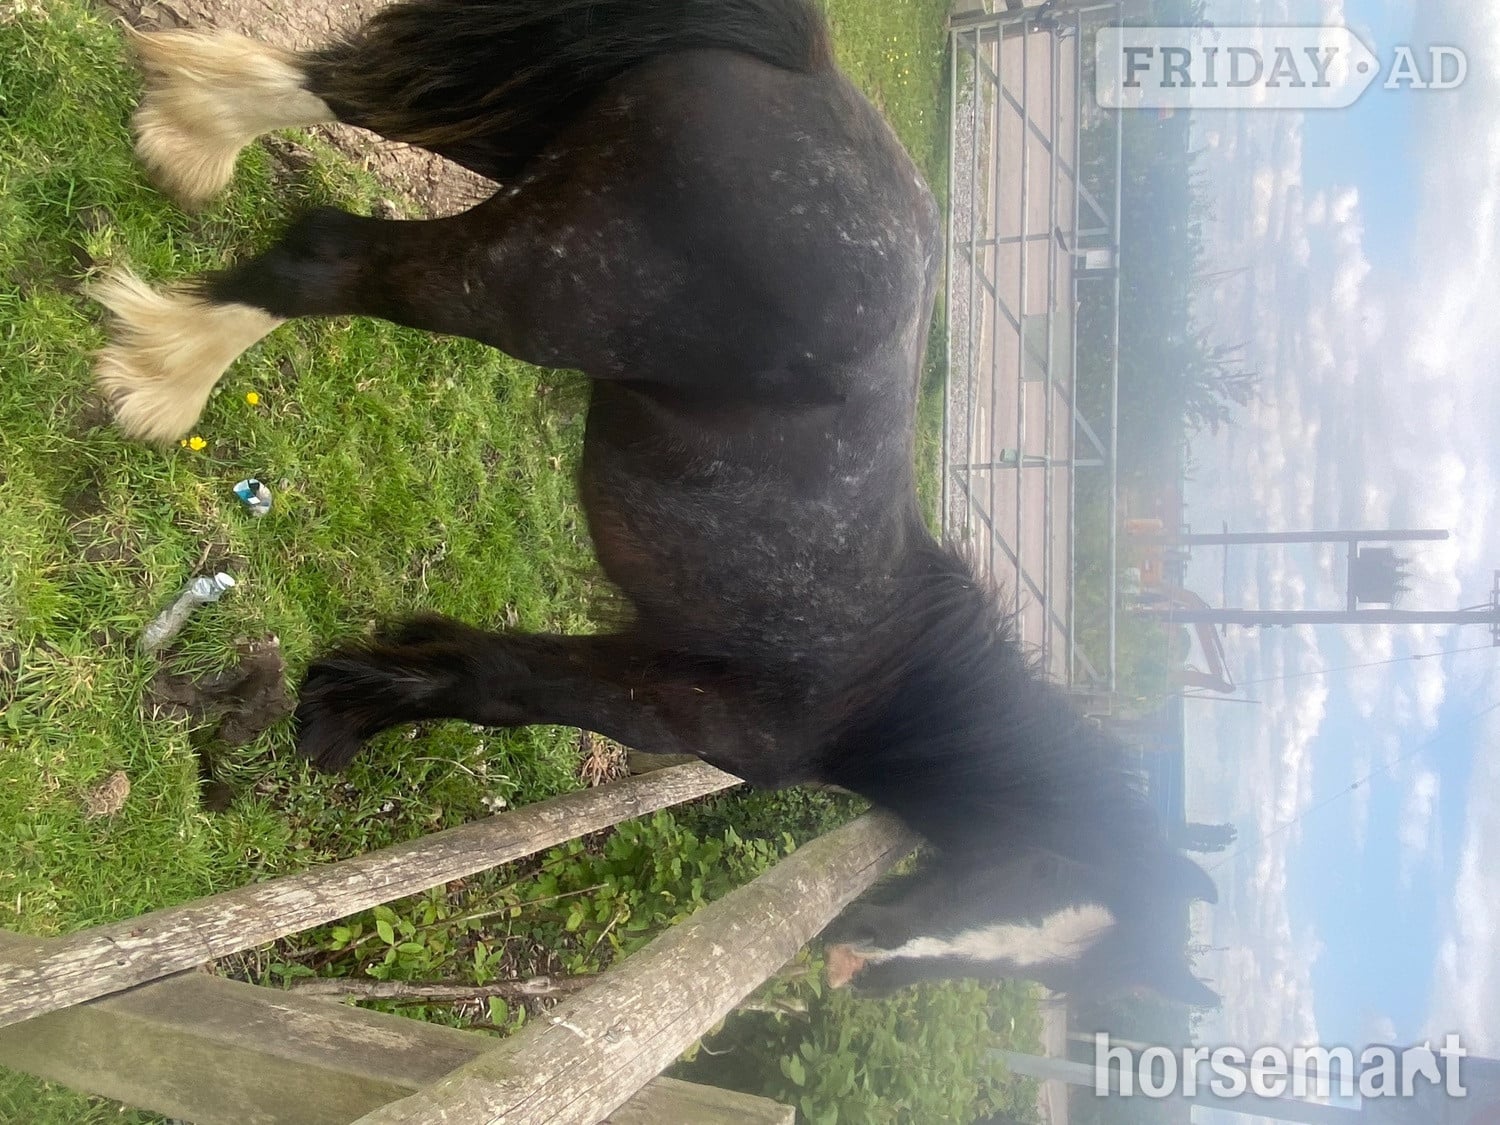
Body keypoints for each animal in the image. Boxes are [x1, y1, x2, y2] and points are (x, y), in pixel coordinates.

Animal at [92, 0, 1218, 1005]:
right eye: (1032, 883)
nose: (856, 962)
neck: (880, 673)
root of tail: (811, 76)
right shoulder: (656, 691)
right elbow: (498, 686)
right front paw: (343, 711)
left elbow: (476, 664)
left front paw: (361, 684)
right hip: (526, 283)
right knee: (327, 255)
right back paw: (158, 381)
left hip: (532, 142)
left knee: (352, 90)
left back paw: (187, 138)